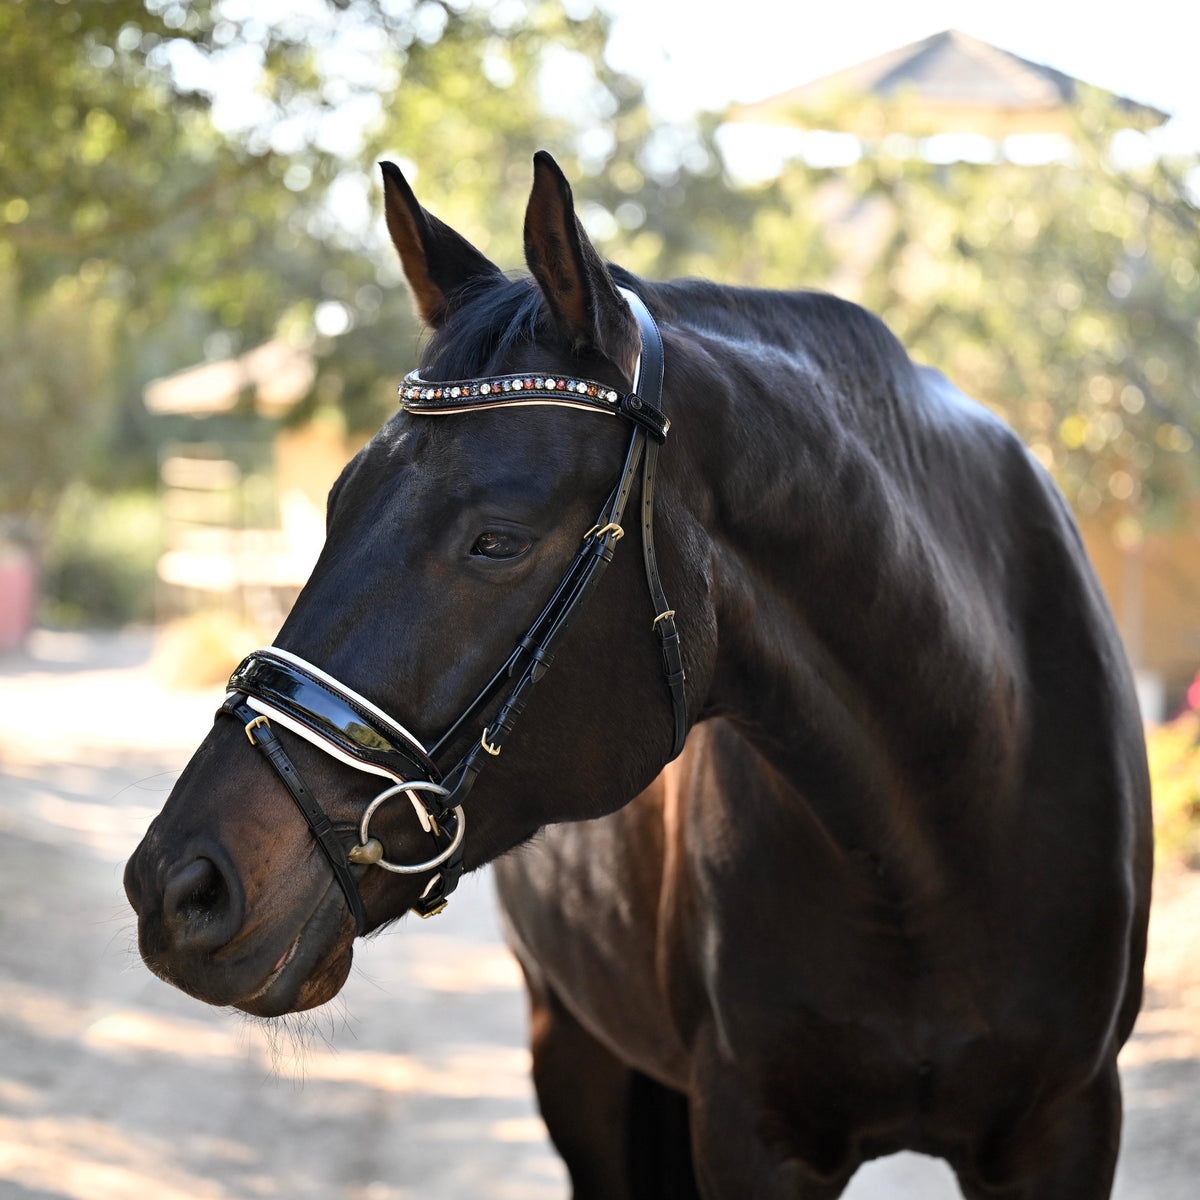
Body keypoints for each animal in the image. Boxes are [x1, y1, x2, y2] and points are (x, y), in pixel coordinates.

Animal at [124, 152, 1152, 1200]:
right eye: (336, 503)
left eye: (497, 541)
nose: (178, 886)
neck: (936, 830)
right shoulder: (749, 1133)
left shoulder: (1065, 1128)